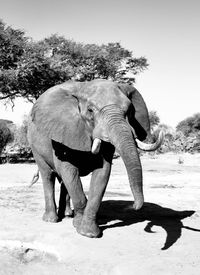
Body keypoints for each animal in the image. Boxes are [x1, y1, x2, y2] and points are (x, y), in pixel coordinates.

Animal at [27, 78, 163, 238]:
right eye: (90, 110)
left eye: (129, 111)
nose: (132, 206)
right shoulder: (63, 134)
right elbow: (68, 170)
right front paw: (79, 225)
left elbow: (102, 173)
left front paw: (88, 233)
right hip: (35, 146)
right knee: (48, 175)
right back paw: (51, 219)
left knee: (63, 183)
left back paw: (67, 215)